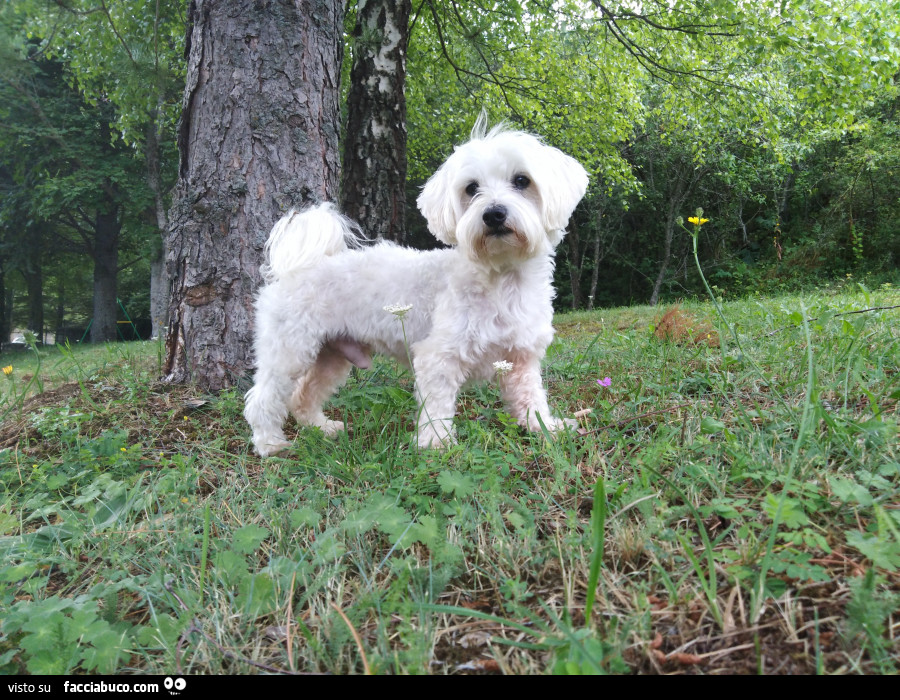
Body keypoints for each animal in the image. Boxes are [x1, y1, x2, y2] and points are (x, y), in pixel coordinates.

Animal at [243, 123, 588, 456]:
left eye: (521, 180)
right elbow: (436, 406)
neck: (501, 278)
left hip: (332, 356)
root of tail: (295, 267)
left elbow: (531, 397)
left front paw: (545, 428)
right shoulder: (438, 357)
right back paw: (269, 443)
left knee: (304, 396)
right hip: (290, 351)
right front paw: (436, 442)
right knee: (263, 398)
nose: (493, 214)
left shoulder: (521, 360)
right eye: (471, 188)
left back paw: (321, 427)